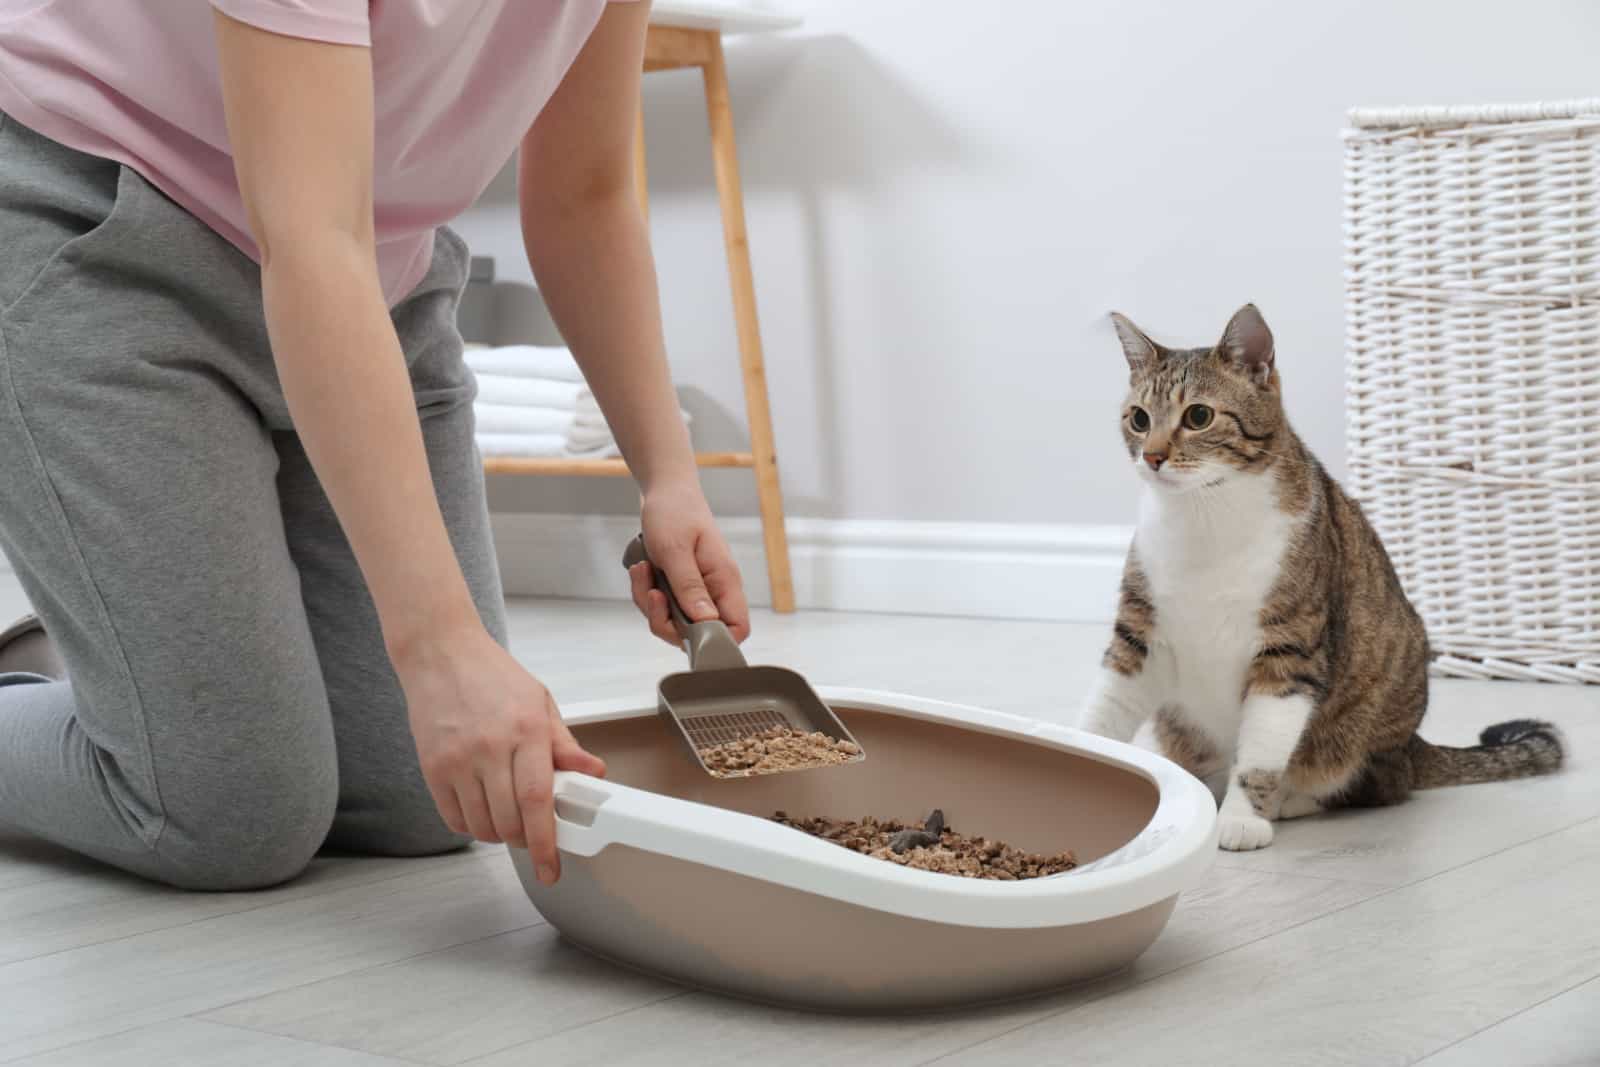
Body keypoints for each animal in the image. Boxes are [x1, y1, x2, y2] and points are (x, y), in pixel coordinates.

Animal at [1075, 303, 1561, 857]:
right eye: (1139, 418)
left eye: (1198, 416)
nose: (1153, 456)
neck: (1203, 518)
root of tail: (1414, 746)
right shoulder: (1138, 632)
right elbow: (1105, 708)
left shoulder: (1290, 646)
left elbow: (1262, 749)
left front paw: (1242, 818)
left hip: (1368, 724)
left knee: (1373, 784)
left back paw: (1291, 800)